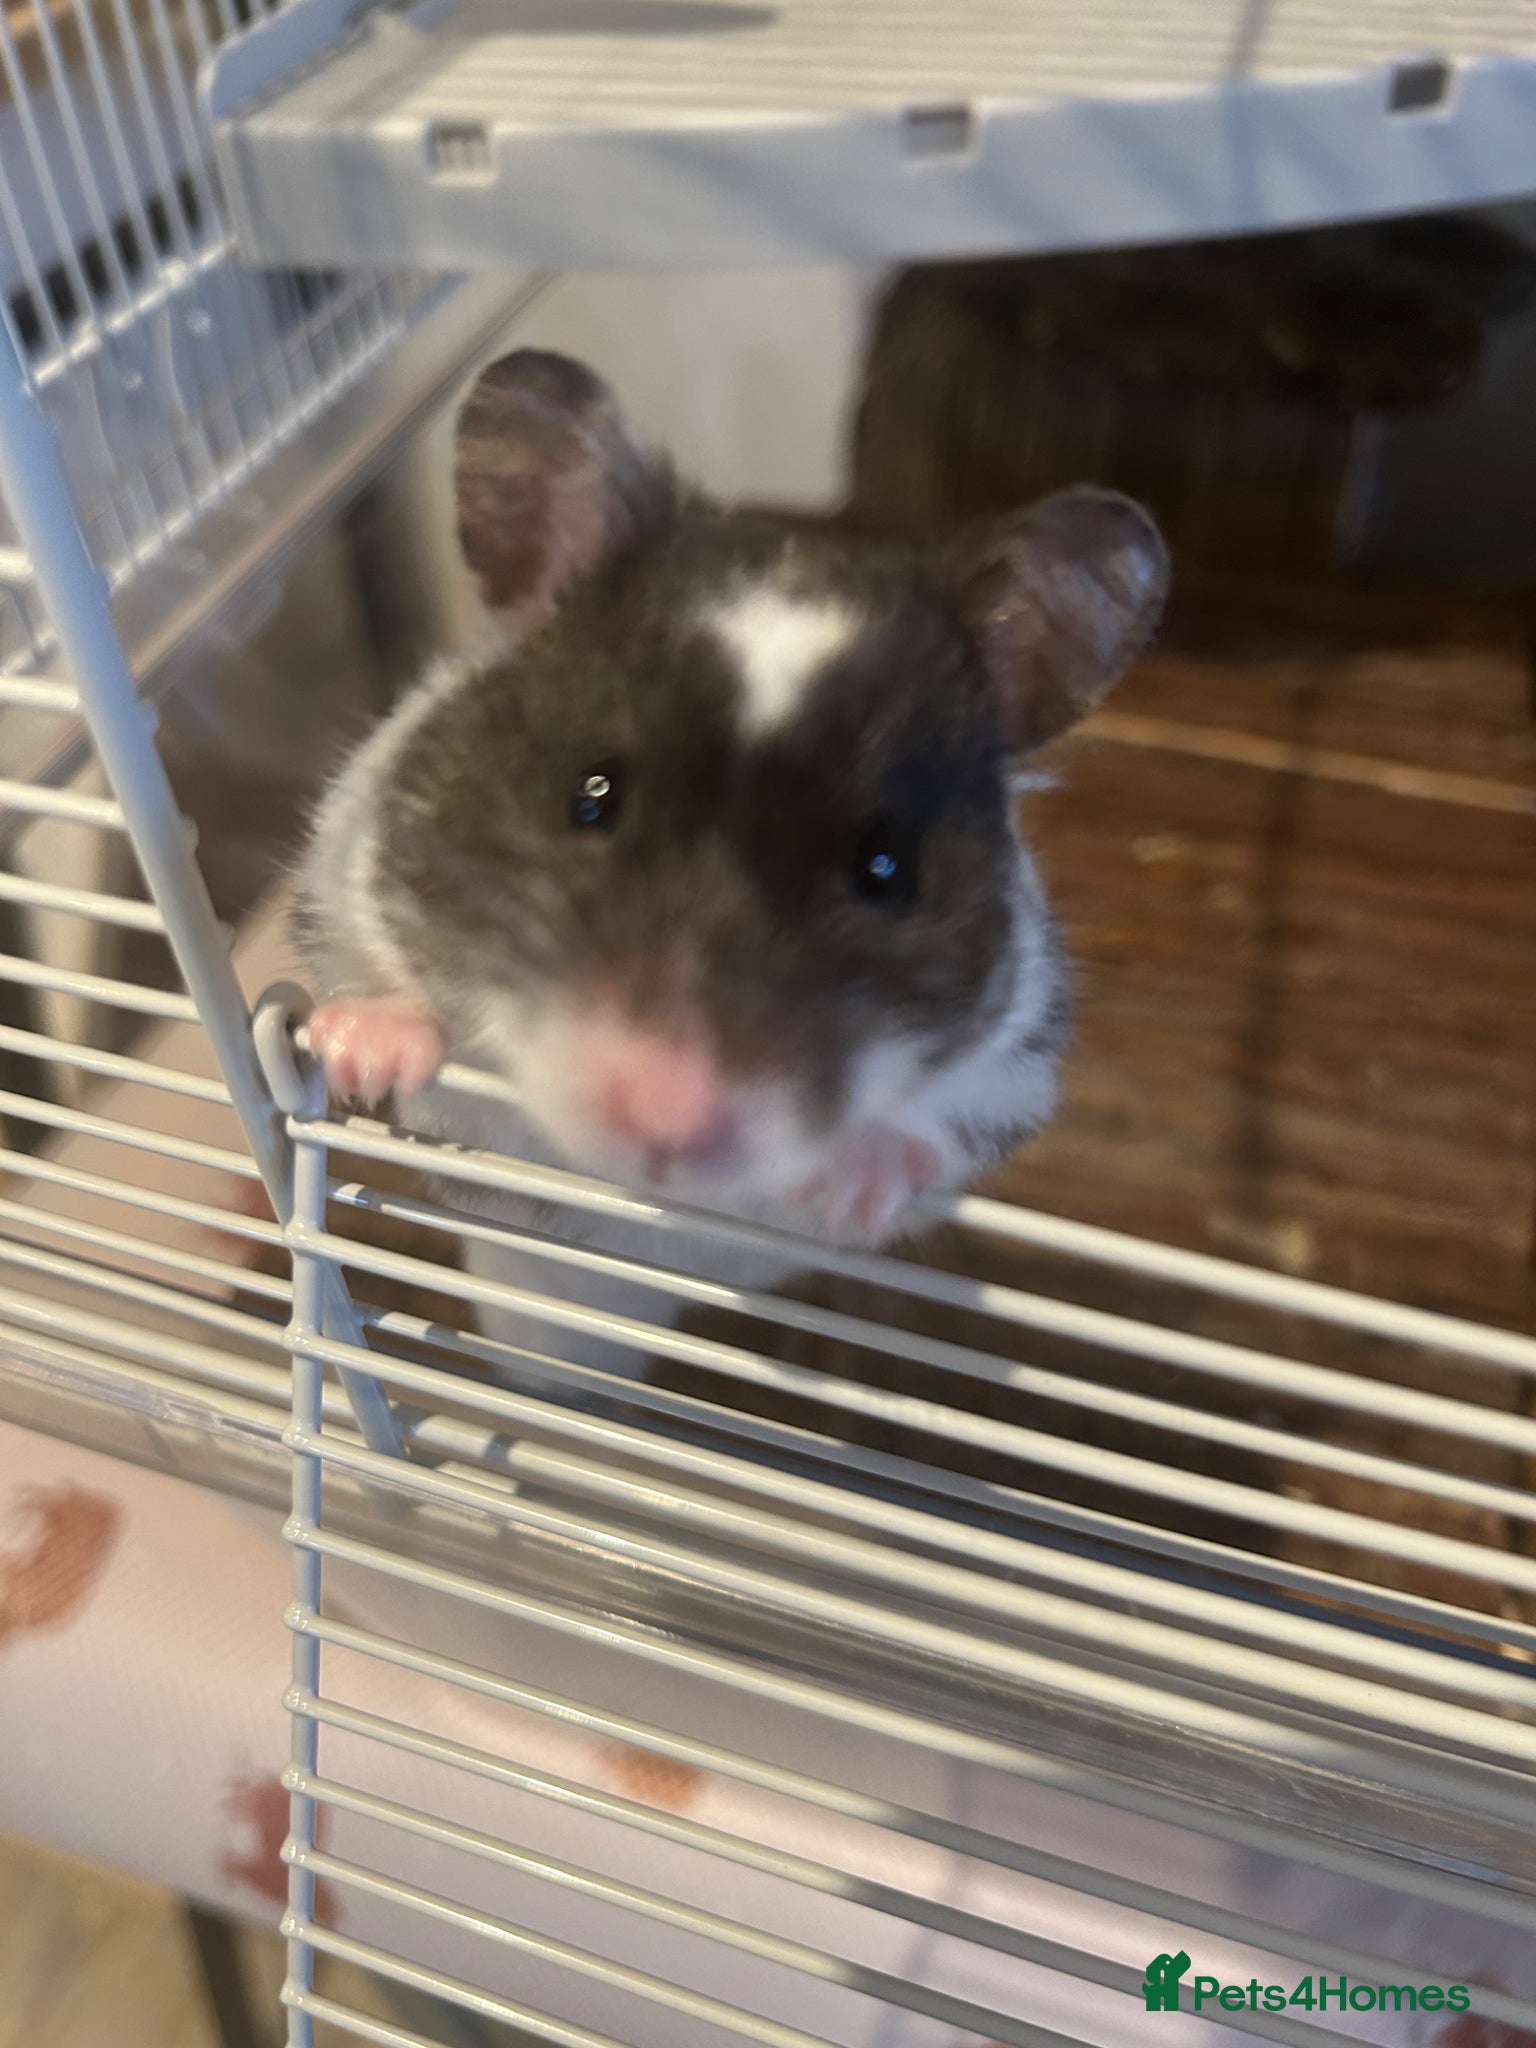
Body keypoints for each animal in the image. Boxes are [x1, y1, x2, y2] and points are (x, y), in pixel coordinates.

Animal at [293, 349, 1168, 1392]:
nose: (668, 1121)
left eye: (887, 868)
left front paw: (858, 1182)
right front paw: (362, 1048)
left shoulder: (1017, 1065)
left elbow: (934, 1125)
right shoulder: (348, 853)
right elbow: (373, 971)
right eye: (591, 794)